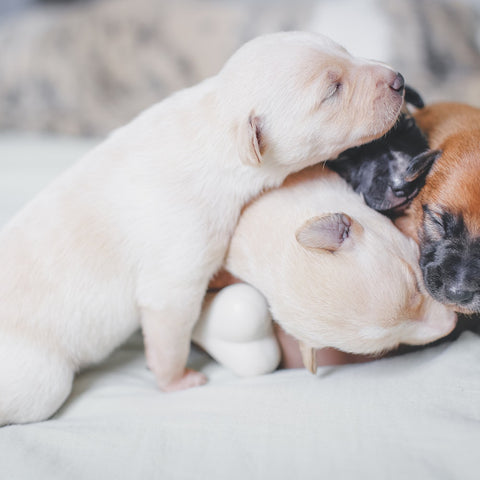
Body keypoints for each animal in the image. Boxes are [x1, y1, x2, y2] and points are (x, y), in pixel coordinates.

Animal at [0, 31, 404, 426]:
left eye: (345, 49)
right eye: (332, 90)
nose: (399, 79)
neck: (211, 121)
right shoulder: (182, 249)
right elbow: (170, 319)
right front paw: (176, 380)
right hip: (38, 375)